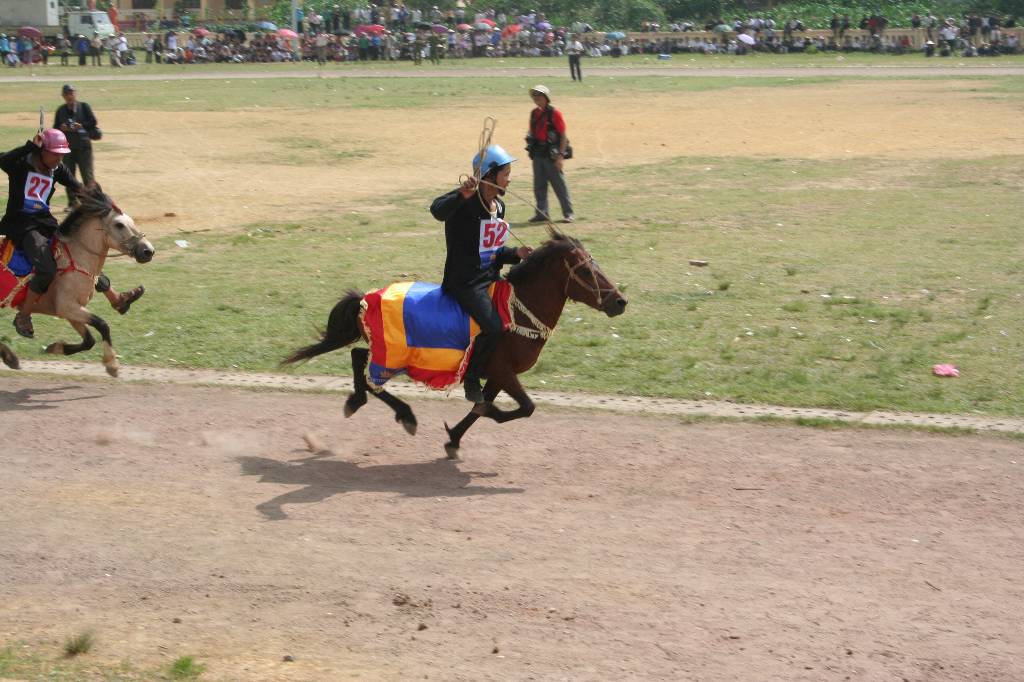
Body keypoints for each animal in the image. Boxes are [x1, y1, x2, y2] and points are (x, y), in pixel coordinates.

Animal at [284, 228, 626, 456]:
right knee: (367, 371)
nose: (620, 301)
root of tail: (365, 299)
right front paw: (488, 416)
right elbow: (520, 407)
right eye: (585, 270)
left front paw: (454, 438)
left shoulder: (496, 376)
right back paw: (402, 413)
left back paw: (359, 401)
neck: (517, 310)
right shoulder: (503, 372)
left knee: (358, 357)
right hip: (392, 356)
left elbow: (479, 406)